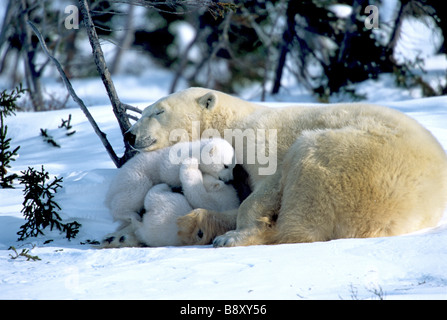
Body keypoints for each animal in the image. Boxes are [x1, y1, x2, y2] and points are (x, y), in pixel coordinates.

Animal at [104, 138, 236, 225]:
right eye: (226, 166)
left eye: (234, 167)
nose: (230, 180)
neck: (195, 152)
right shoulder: (171, 163)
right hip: (133, 177)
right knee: (134, 192)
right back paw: (130, 215)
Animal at [123, 87, 447, 248]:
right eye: (147, 109)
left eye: (158, 111)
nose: (130, 135)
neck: (232, 122)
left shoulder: (260, 138)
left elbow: (267, 185)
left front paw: (237, 230)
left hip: (357, 162)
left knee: (305, 195)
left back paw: (233, 236)